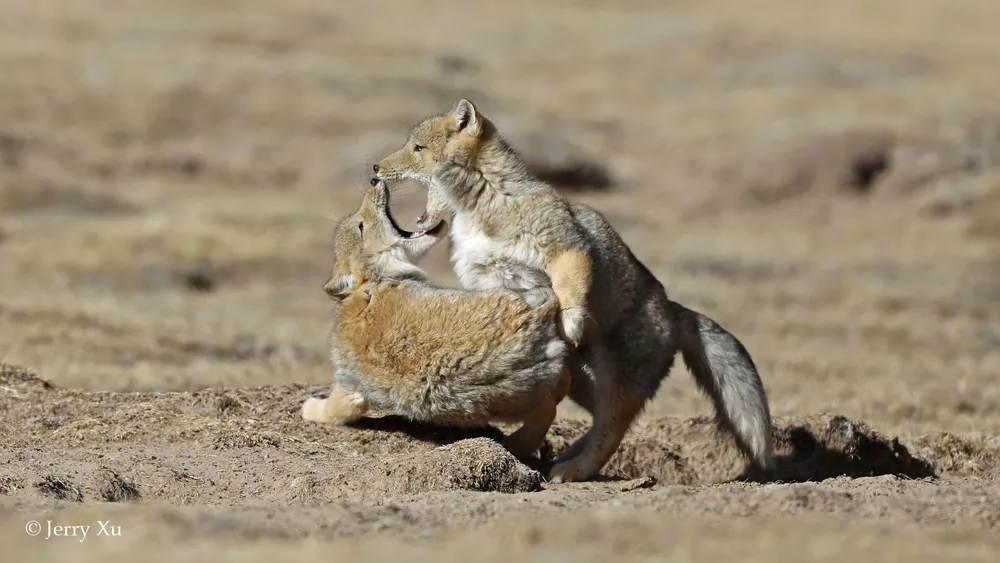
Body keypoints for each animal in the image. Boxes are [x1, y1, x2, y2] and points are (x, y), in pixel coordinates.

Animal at [302, 181, 572, 462]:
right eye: (361, 226)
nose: (374, 182)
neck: (371, 287)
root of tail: (537, 309)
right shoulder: (348, 388)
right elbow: (329, 413)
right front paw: (309, 408)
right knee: (550, 407)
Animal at [376, 99, 772, 482]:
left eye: (417, 148)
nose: (375, 168)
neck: (484, 208)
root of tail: (675, 311)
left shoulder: (566, 247)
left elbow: (570, 288)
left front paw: (570, 323)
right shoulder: (485, 280)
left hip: (614, 385)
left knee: (608, 433)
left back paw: (573, 468)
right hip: (585, 384)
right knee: (587, 417)